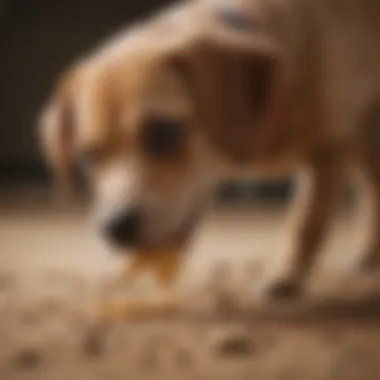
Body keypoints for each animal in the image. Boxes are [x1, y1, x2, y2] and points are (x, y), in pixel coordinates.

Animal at [39, 0, 380, 316]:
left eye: (164, 132)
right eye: (88, 157)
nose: (116, 228)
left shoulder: (331, 146)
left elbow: (307, 221)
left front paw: (286, 276)